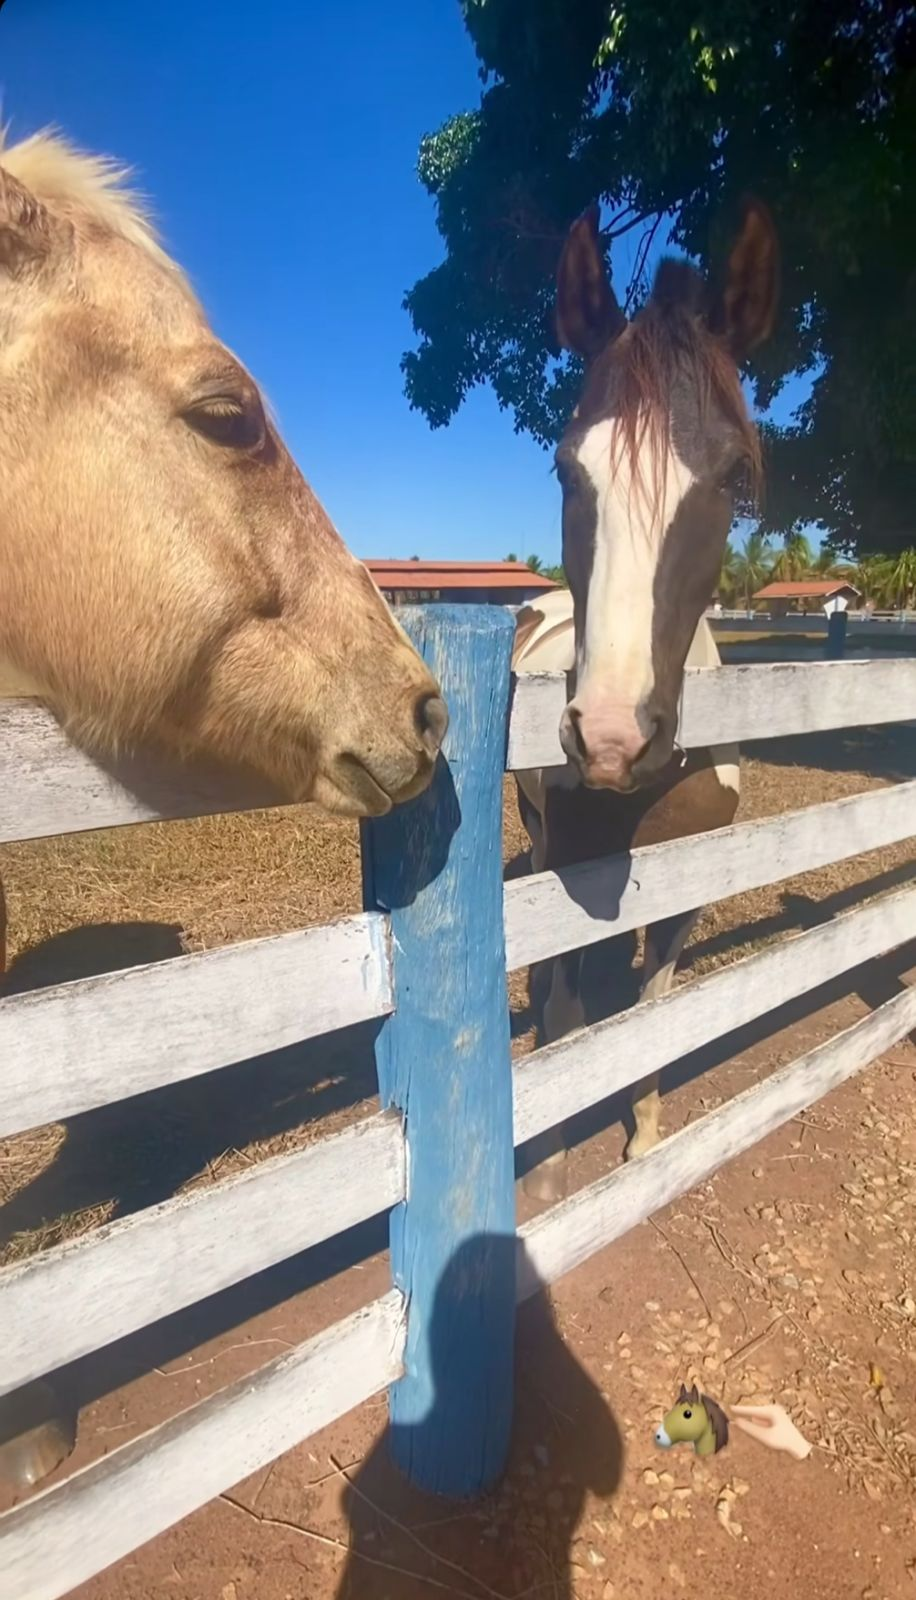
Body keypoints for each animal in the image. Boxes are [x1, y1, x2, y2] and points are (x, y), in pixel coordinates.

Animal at [512, 196, 775, 1203]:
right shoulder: (567, 876)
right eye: (565, 469)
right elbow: (568, 1010)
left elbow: (653, 1002)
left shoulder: (686, 886)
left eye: (734, 474)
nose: (613, 737)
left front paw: (647, 1130)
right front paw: (549, 1166)